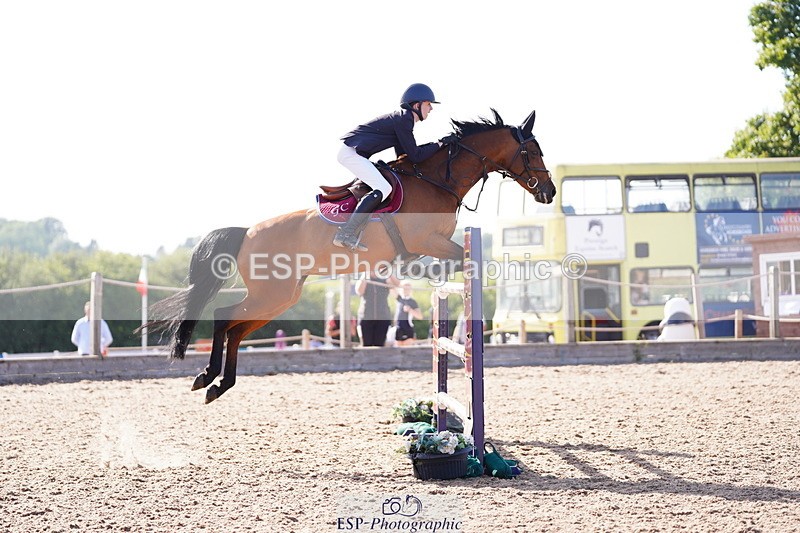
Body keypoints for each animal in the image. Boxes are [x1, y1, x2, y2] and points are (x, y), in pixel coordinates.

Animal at [149, 108, 555, 403]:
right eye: (533, 151)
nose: (548, 192)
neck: (439, 179)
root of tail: (246, 233)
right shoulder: (428, 239)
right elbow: (466, 259)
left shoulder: (430, 244)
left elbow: (451, 263)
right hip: (272, 293)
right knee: (223, 317)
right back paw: (207, 378)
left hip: (280, 297)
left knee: (235, 327)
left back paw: (219, 384)